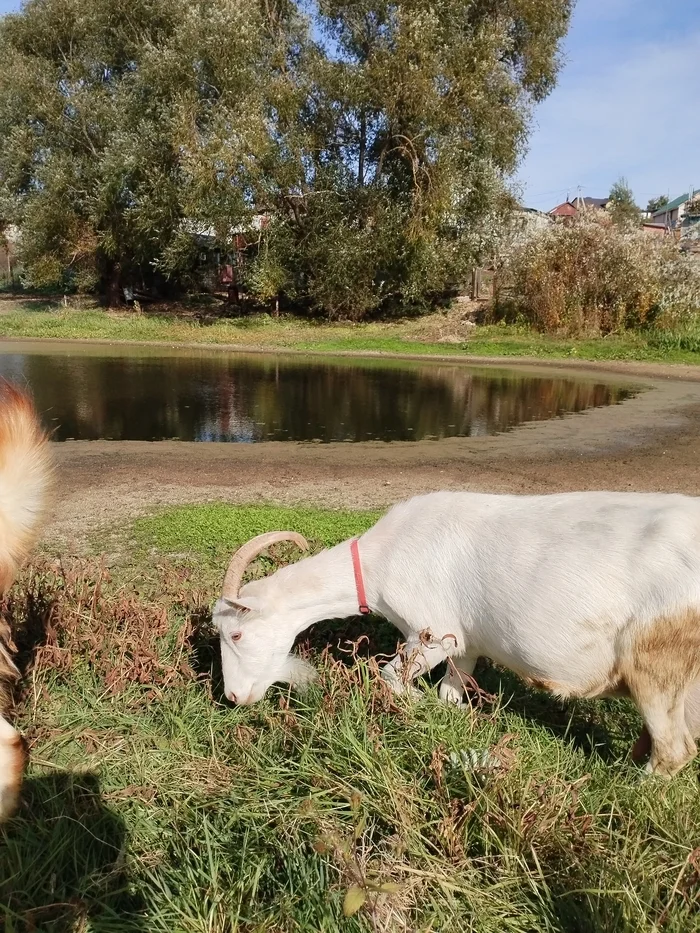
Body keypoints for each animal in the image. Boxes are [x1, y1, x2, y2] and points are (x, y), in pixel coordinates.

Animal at [212, 492, 700, 776]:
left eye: (235, 635)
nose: (234, 697)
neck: (378, 559)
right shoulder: (464, 643)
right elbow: (452, 688)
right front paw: (454, 716)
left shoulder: (431, 633)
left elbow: (390, 677)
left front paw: (417, 702)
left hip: (658, 658)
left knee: (675, 749)